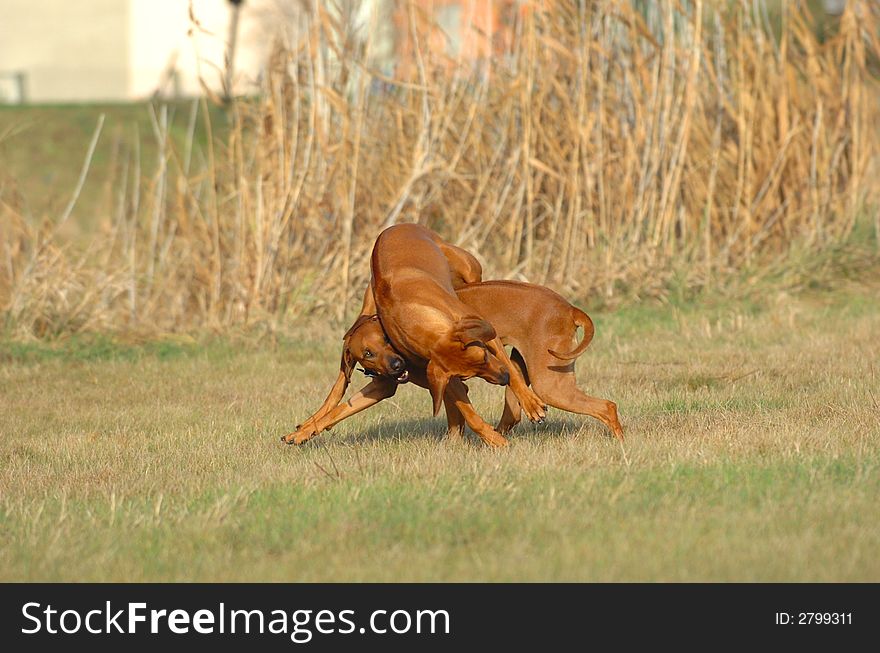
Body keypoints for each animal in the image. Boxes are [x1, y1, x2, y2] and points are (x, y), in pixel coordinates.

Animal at [286, 280, 624, 444]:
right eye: (367, 353)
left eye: (385, 341)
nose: (396, 366)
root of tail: (568, 308)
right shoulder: (383, 385)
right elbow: (337, 410)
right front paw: (301, 433)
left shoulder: (451, 382)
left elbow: (467, 416)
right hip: (528, 372)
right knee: (514, 411)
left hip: (549, 382)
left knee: (606, 406)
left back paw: (619, 443)